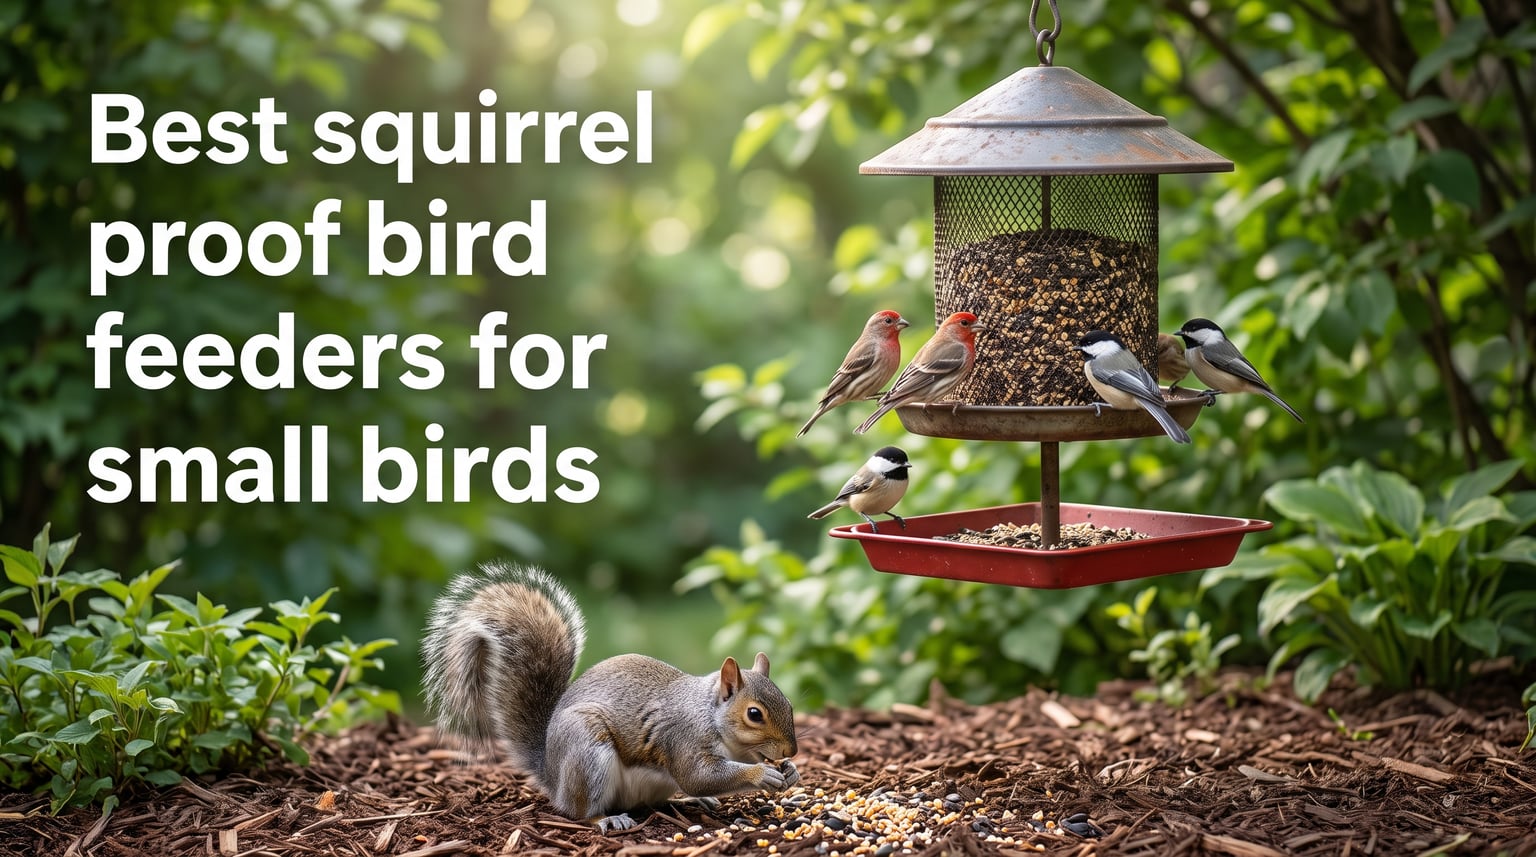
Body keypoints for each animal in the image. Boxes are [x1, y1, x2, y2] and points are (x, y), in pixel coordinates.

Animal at [421, 561, 801, 831]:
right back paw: (605, 818)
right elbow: (697, 775)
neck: (710, 715)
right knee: (578, 812)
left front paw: (792, 772)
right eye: (754, 714)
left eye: (790, 704)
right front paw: (761, 776)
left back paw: (694, 802)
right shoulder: (683, 738)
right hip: (587, 754)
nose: (791, 751)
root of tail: (552, 774)